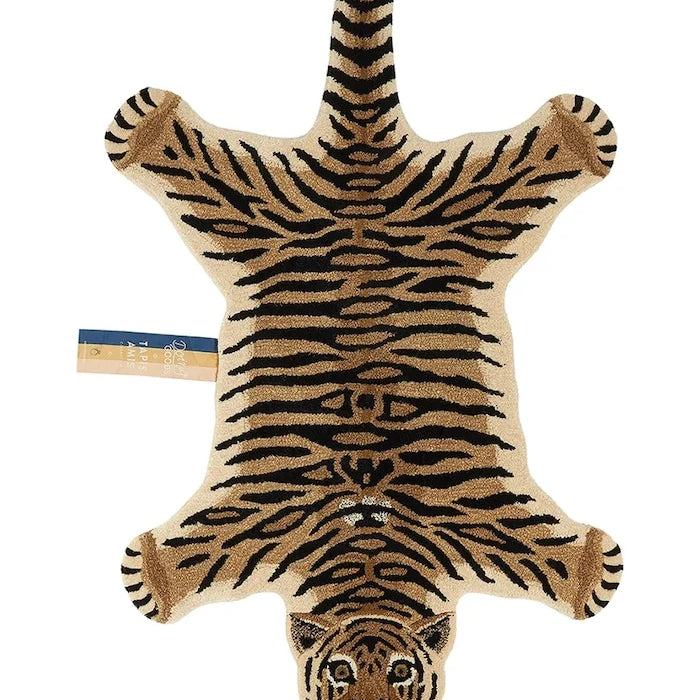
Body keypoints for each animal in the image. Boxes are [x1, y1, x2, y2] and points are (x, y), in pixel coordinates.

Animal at [104, 1, 623, 698]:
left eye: (403, 671)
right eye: (340, 672)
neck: (369, 548)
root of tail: (362, 171)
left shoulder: (478, 522)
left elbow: (556, 563)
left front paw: (591, 565)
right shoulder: (259, 525)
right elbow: (182, 564)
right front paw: (152, 571)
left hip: (468, 204)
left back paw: (573, 131)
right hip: (255, 207)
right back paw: (150, 127)